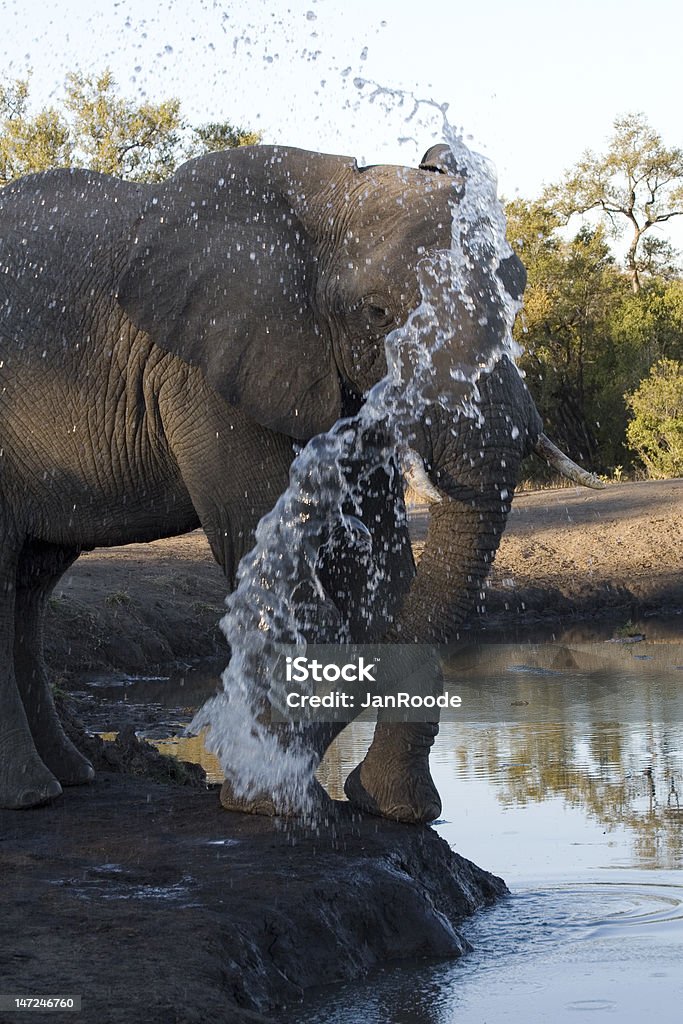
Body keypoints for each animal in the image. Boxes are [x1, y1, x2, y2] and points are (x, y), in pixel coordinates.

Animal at [0, 142, 593, 815]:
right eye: (376, 313)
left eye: (512, 297)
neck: (324, 195)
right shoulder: (205, 372)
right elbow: (273, 547)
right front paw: (269, 802)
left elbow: (383, 566)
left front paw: (389, 808)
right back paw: (31, 795)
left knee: (31, 583)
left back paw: (67, 778)